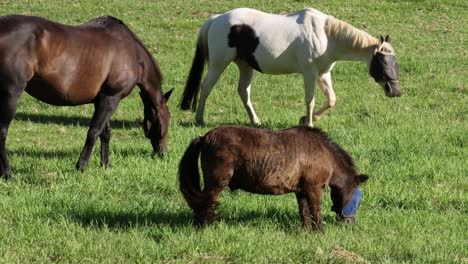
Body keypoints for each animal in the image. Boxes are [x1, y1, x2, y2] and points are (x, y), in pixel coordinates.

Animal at [0, 14, 173, 179]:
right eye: (168, 117)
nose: (163, 153)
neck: (132, 52)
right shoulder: (111, 97)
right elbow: (94, 132)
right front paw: (81, 166)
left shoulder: (103, 99)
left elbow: (105, 133)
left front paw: (105, 164)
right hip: (11, 95)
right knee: (2, 133)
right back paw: (8, 174)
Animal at [179, 125, 370, 232]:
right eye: (357, 199)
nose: (349, 223)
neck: (324, 152)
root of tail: (204, 137)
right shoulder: (314, 189)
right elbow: (316, 211)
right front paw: (320, 233)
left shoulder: (301, 191)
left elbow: (304, 212)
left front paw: (306, 231)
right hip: (216, 183)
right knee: (204, 203)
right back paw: (204, 226)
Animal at [181, 7, 400, 127]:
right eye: (383, 62)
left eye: (395, 62)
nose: (395, 91)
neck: (326, 35)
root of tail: (215, 19)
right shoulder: (310, 73)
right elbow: (310, 100)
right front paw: (309, 123)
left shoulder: (323, 74)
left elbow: (331, 99)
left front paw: (305, 119)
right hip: (219, 63)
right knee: (206, 87)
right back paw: (199, 119)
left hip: (245, 66)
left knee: (243, 92)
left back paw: (255, 121)